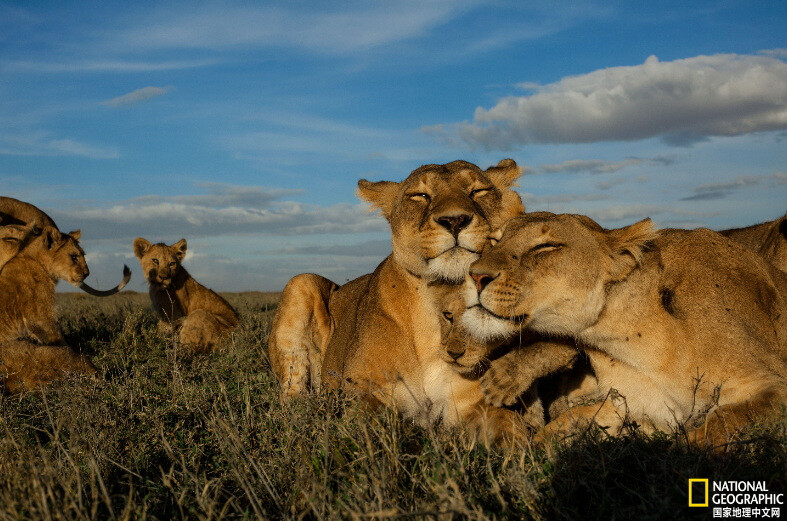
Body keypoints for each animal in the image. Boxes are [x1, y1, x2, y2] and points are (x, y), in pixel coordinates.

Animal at [268, 159, 528, 442]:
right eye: (421, 196)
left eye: (478, 191)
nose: (455, 220)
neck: (435, 303)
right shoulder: (366, 390)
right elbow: (371, 427)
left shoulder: (472, 404)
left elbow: (512, 429)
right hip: (302, 281)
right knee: (291, 395)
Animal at [464, 212, 784, 446]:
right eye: (493, 241)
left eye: (545, 247)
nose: (475, 276)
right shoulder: (643, 406)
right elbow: (570, 420)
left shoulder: (771, 384)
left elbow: (715, 428)